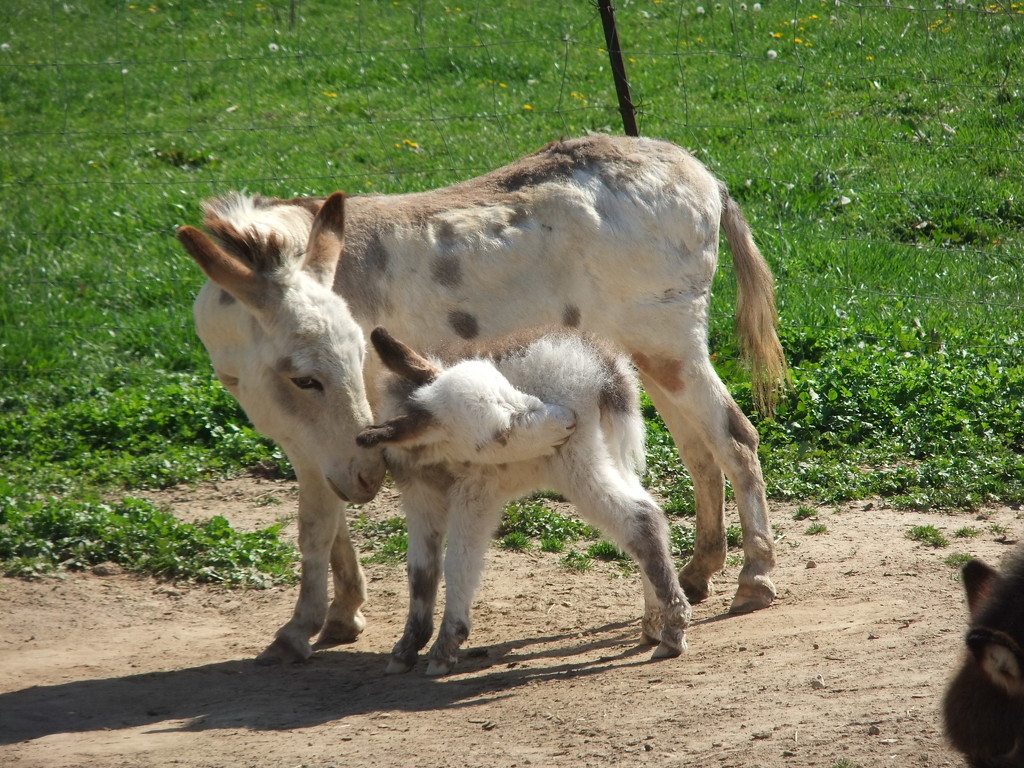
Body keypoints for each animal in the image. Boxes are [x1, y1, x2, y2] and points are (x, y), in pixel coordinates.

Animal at [356, 327, 692, 675]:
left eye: (511, 388)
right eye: (501, 433)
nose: (565, 419)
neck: (436, 456)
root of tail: (604, 366)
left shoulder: (475, 493)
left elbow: (459, 563)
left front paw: (445, 647)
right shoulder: (420, 497)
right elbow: (421, 571)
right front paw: (407, 647)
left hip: (576, 463)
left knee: (639, 520)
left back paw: (672, 633)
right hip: (608, 452)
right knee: (647, 514)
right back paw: (654, 623)